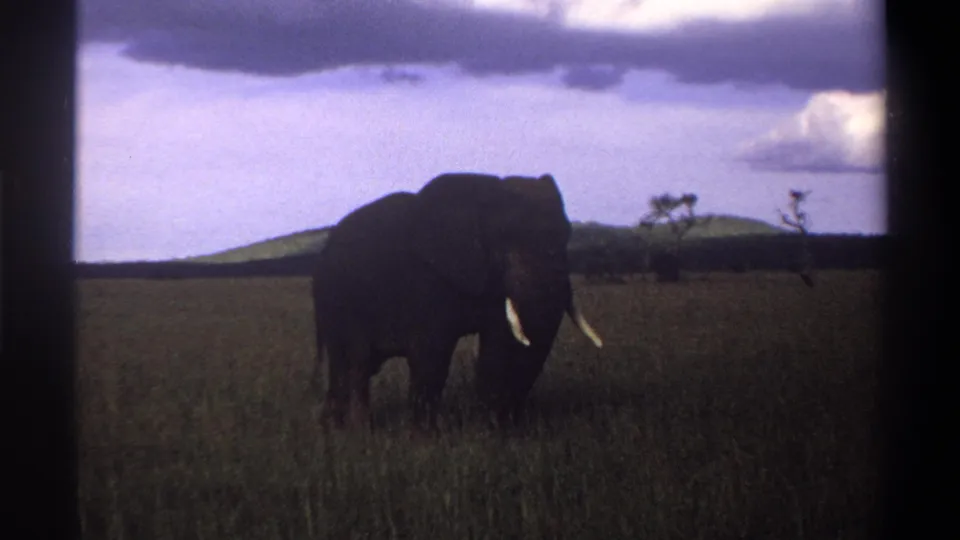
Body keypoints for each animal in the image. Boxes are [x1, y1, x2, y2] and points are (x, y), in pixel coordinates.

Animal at [310, 172, 603, 431]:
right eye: (504, 237)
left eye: (567, 234)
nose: (513, 418)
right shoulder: (427, 280)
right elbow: (431, 354)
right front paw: (425, 435)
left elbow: (497, 345)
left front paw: (494, 428)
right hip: (337, 301)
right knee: (355, 363)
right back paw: (357, 430)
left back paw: (332, 426)